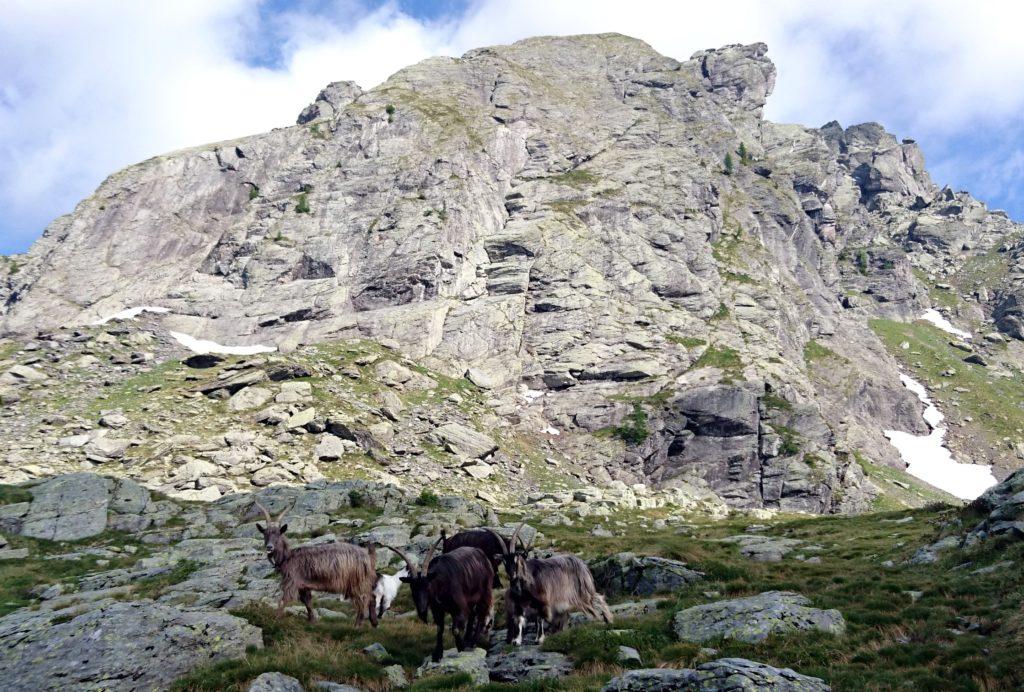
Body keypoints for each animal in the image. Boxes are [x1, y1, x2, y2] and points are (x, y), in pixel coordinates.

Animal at [253, 497, 378, 626]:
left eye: (278, 534)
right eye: (265, 533)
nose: (269, 547)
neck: (288, 557)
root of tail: (369, 557)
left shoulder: (292, 581)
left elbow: (284, 600)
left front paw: (274, 619)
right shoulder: (304, 586)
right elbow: (307, 602)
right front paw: (311, 620)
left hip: (357, 582)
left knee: (363, 601)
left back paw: (357, 625)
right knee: (371, 597)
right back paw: (373, 622)